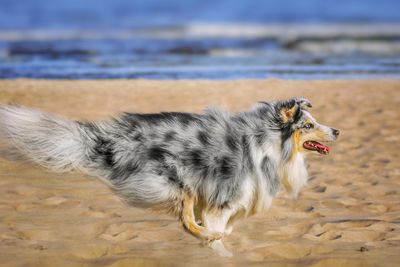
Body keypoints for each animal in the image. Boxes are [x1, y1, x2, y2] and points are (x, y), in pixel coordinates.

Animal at [0, 97, 340, 256]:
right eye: (308, 125)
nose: (337, 130)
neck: (268, 144)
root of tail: (110, 139)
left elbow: (228, 226)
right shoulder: (224, 198)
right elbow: (219, 226)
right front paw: (219, 248)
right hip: (176, 179)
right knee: (185, 219)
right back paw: (206, 236)